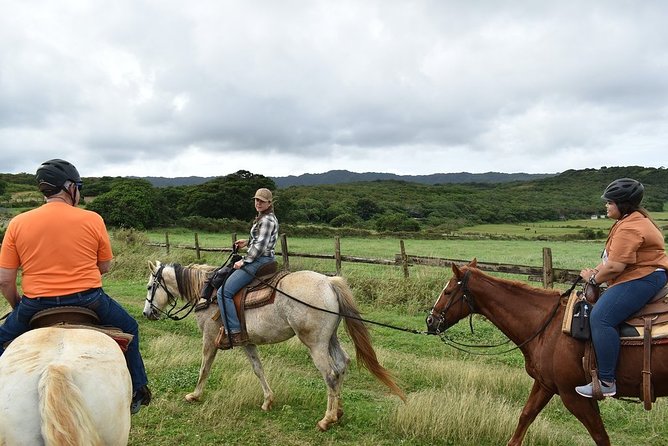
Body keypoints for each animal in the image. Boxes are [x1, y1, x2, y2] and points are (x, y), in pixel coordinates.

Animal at [144, 260, 404, 430]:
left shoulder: (209, 338)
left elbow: (204, 367)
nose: (146, 313)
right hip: (330, 339)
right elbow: (258, 369)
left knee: (330, 374)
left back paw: (326, 420)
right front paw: (268, 400)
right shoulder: (246, 342)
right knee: (341, 365)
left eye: (149, 286)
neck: (207, 292)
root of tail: (329, 282)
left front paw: (195, 395)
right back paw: (338, 412)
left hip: (315, 343)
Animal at [426, 258, 664, 446]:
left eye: (448, 291)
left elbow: (600, 436)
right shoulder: (545, 384)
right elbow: (525, 416)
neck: (548, 327)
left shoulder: (573, 395)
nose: (430, 320)